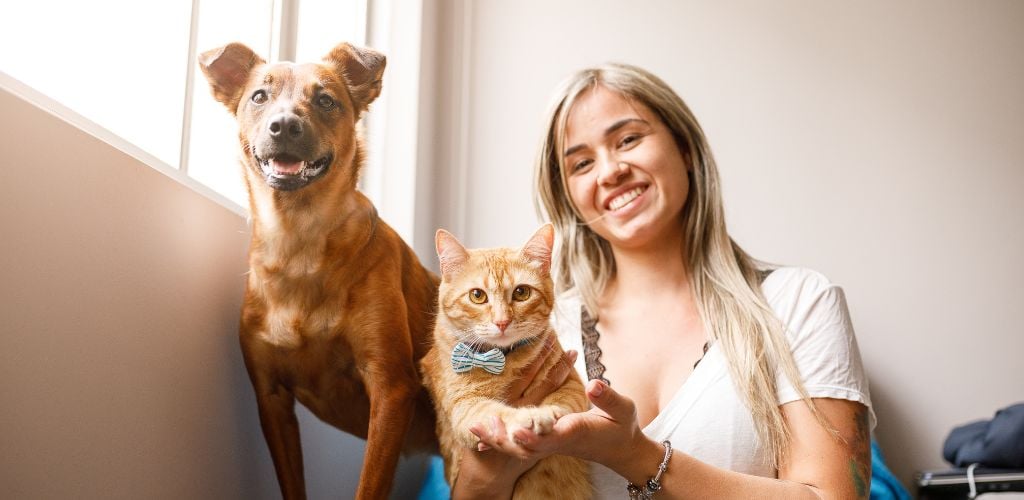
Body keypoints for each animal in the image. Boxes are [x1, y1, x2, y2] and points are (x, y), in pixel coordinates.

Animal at [199, 40, 440, 497]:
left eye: (326, 100)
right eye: (259, 96)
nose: (284, 126)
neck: (298, 243)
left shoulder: (390, 388)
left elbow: (369, 486)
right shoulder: (271, 399)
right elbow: (292, 484)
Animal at [417, 224, 593, 497]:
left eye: (521, 292)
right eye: (477, 296)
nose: (502, 322)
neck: (504, 359)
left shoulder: (572, 384)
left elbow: (562, 402)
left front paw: (547, 413)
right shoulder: (466, 407)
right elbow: (497, 414)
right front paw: (526, 419)